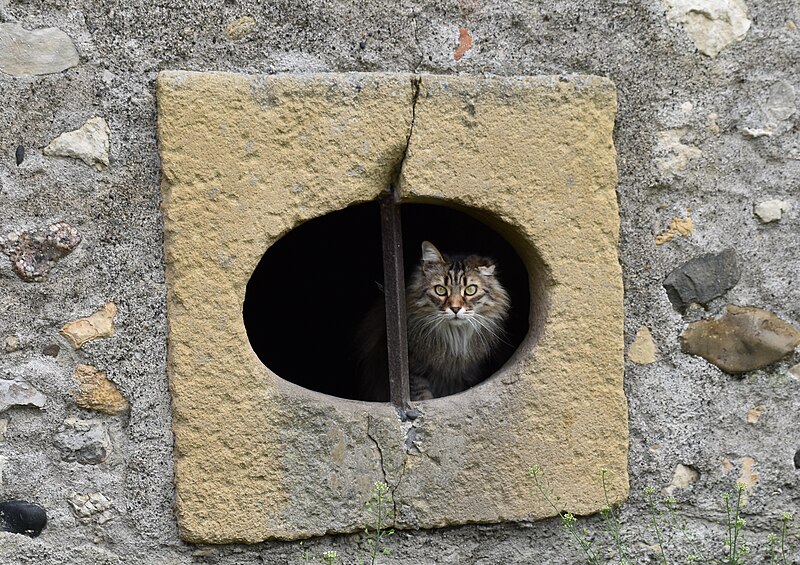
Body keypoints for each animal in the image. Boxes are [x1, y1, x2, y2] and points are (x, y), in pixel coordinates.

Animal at [358, 241, 512, 400]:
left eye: (470, 290)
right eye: (440, 290)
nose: (455, 308)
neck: (455, 336)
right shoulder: (414, 370)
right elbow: (422, 396)